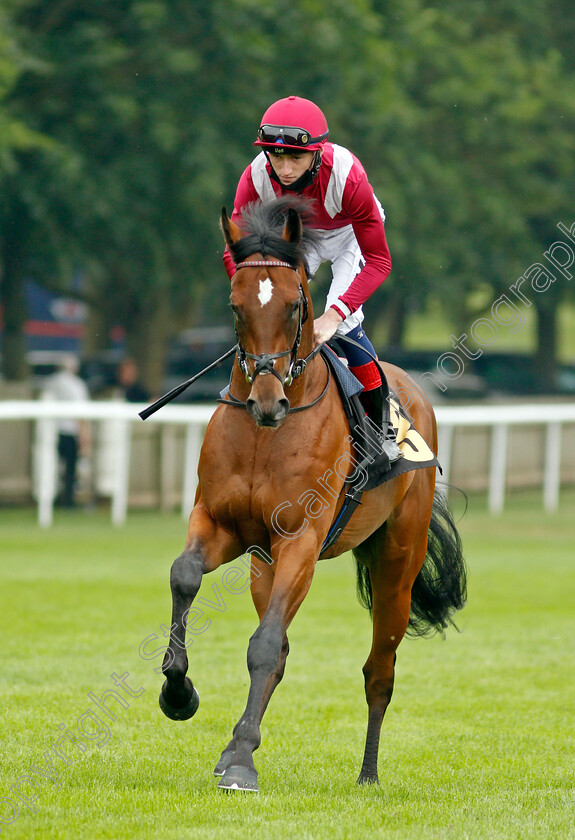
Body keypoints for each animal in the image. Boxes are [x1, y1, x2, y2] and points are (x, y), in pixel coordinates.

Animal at [159, 197, 468, 796]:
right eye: (235, 305)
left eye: (295, 305)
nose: (268, 401)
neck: (266, 436)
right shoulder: (223, 525)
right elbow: (186, 577)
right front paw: (179, 694)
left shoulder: (300, 538)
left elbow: (261, 647)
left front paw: (241, 762)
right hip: (264, 565)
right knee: (279, 645)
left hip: (397, 560)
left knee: (378, 670)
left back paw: (368, 773)